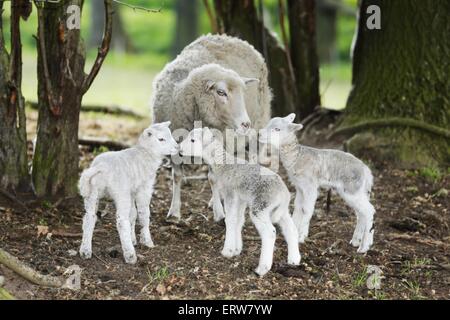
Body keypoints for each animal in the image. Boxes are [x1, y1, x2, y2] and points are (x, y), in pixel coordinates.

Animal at [79, 121, 179, 264]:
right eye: (161, 139)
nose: (177, 147)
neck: (146, 153)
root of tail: (101, 167)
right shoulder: (144, 188)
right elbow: (143, 213)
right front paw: (146, 240)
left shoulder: (131, 190)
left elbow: (133, 214)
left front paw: (133, 239)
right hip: (120, 192)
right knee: (121, 221)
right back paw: (130, 255)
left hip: (92, 191)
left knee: (89, 217)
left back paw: (85, 250)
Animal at [151, 34, 270, 220]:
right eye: (221, 92)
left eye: (243, 93)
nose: (246, 124)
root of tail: (233, 38)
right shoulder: (174, 145)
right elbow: (177, 176)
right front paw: (174, 211)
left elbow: (213, 178)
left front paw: (219, 213)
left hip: (258, 128)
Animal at [178, 126, 298, 276]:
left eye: (193, 140)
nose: (179, 149)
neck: (222, 164)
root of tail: (284, 193)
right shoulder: (240, 198)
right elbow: (238, 220)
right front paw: (236, 249)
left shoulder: (229, 194)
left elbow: (230, 220)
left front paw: (227, 251)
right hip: (280, 210)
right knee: (291, 228)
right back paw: (294, 260)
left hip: (260, 207)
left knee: (270, 233)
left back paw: (262, 268)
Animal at [258, 114, 374, 254]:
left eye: (277, 129)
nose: (259, 133)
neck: (297, 157)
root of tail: (366, 171)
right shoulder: (299, 187)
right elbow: (297, 208)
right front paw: (294, 232)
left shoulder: (310, 186)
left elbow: (307, 209)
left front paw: (301, 236)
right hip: (358, 191)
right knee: (361, 214)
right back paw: (356, 241)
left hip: (352, 189)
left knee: (369, 211)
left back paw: (364, 246)